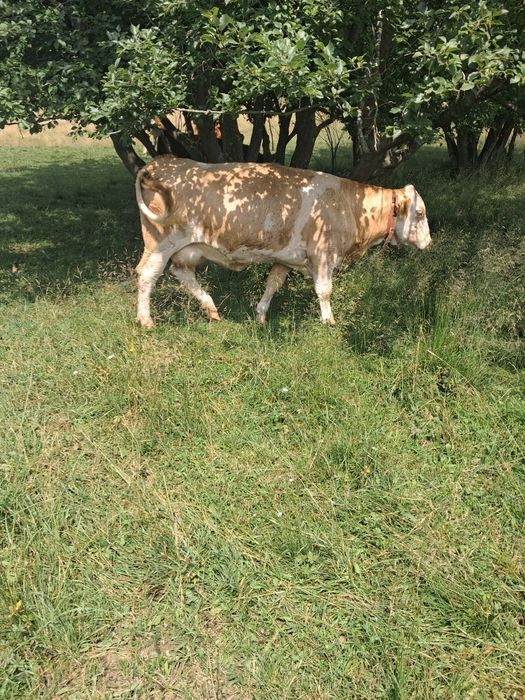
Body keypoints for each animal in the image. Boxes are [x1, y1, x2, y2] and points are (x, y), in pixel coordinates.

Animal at [134, 156, 431, 328]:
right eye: (419, 212)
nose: (429, 242)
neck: (348, 204)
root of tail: (160, 162)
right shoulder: (323, 254)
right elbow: (324, 290)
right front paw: (329, 321)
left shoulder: (285, 258)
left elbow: (272, 285)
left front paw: (260, 315)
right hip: (161, 243)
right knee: (147, 275)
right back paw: (145, 320)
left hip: (187, 249)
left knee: (182, 273)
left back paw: (211, 308)